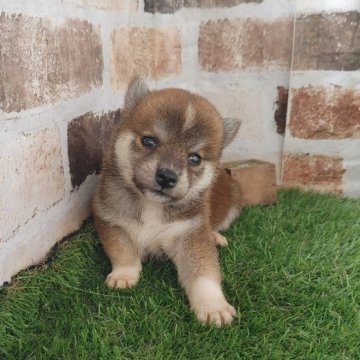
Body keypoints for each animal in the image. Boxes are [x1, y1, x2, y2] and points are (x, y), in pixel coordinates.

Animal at [92, 79, 242, 326]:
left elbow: (203, 273)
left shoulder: (190, 235)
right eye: (149, 141)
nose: (166, 177)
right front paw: (124, 275)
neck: (151, 205)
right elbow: (123, 252)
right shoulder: (111, 221)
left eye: (195, 158)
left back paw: (216, 236)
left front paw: (213, 306)